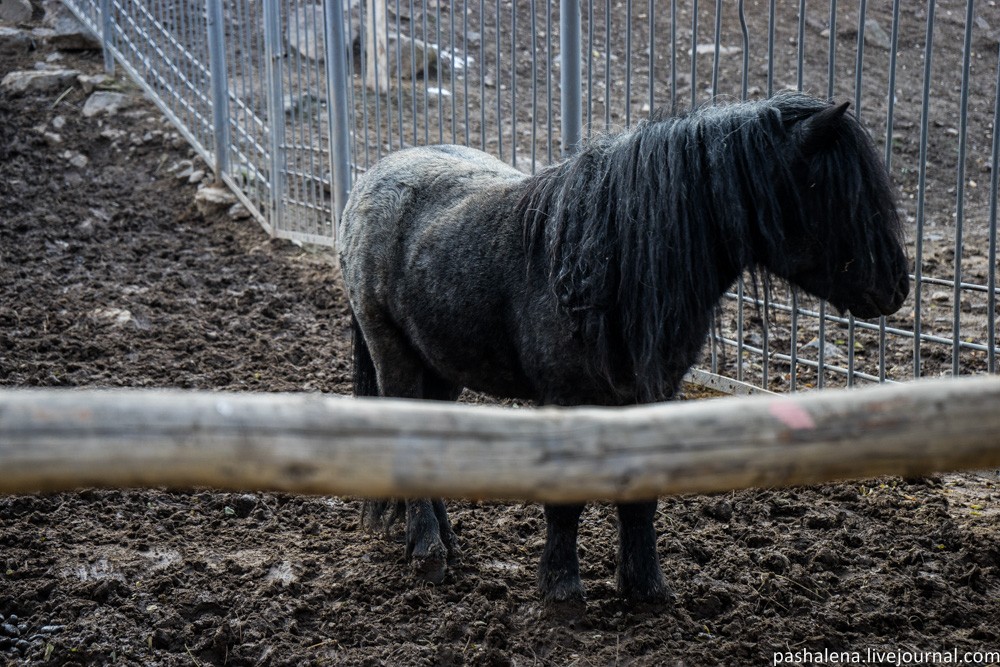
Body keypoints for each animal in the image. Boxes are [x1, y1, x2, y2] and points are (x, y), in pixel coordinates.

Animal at [336, 92, 908, 612]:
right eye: (836, 193)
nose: (897, 289)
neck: (606, 263)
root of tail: (372, 178)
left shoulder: (651, 394)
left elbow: (642, 496)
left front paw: (645, 588)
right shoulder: (567, 399)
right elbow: (566, 504)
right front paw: (563, 591)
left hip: (443, 365)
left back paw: (444, 543)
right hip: (393, 353)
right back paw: (429, 553)